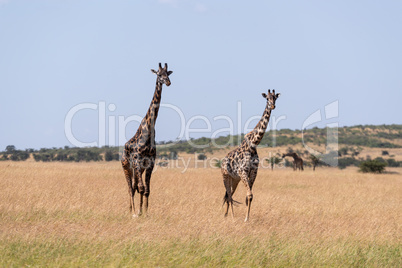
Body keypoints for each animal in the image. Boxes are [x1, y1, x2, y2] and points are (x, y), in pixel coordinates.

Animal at [121, 62, 174, 218]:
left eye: (167, 74)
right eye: (159, 74)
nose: (168, 82)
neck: (149, 129)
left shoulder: (150, 163)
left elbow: (147, 190)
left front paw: (144, 212)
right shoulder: (138, 161)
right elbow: (141, 188)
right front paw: (138, 213)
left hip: (137, 169)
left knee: (134, 187)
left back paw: (131, 209)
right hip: (127, 166)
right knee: (130, 188)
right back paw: (132, 211)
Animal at [220, 89, 280, 221]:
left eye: (275, 98)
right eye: (267, 98)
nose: (273, 106)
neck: (253, 144)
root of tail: (222, 161)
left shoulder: (253, 172)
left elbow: (249, 197)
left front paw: (247, 218)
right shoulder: (243, 171)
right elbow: (249, 194)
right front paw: (245, 219)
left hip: (235, 179)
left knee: (229, 195)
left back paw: (226, 215)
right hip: (226, 176)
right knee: (229, 196)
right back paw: (232, 217)